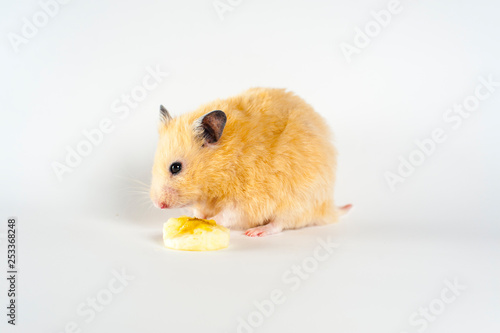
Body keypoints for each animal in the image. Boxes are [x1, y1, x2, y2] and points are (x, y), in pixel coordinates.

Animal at [150, 87, 350, 235]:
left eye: (176, 167)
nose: (158, 205)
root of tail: (328, 207)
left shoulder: (247, 202)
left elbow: (227, 215)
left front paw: (205, 221)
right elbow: (202, 209)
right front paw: (196, 214)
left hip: (298, 200)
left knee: (280, 224)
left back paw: (256, 232)